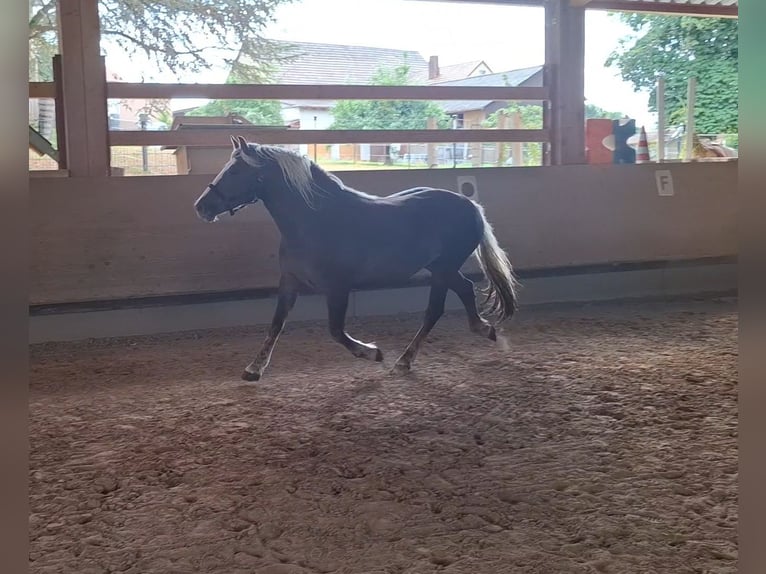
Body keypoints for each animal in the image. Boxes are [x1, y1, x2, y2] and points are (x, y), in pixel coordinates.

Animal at [194, 136, 518, 381]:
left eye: (235, 172)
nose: (201, 206)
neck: (315, 220)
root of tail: (471, 205)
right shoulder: (289, 281)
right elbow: (276, 324)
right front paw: (254, 368)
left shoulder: (338, 287)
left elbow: (336, 331)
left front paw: (373, 353)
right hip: (441, 267)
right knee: (464, 289)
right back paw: (486, 331)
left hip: (443, 269)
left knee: (434, 310)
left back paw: (405, 360)